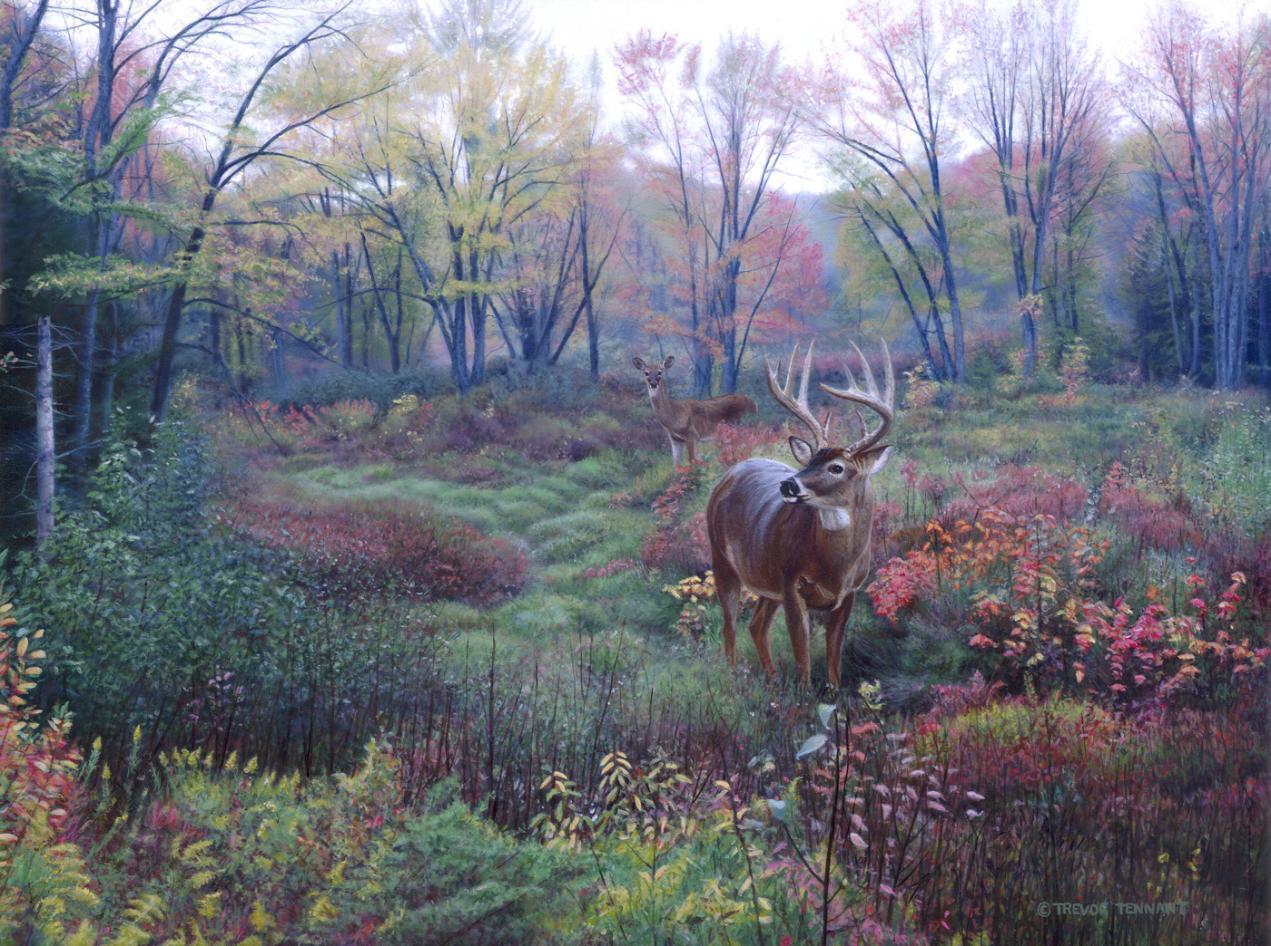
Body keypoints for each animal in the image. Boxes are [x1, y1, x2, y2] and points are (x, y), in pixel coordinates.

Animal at [706, 340, 895, 689]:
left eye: (837, 467)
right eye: (810, 461)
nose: (788, 484)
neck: (836, 566)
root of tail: (732, 471)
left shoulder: (850, 592)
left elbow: (834, 655)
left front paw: (833, 694)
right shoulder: (792, 583)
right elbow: (803, 655)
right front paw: (804, 697)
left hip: (766, 578)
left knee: (756, 625)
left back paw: (772, 680)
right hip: (721, 558)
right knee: (730, 626)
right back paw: (734, 679)